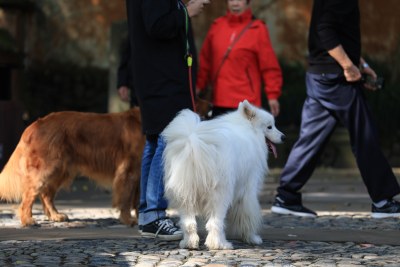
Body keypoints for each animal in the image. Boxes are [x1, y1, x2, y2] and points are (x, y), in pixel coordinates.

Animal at [162, 100, 284, 251]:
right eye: (269, 127)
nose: (284, 137)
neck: (248, 129)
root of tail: (193, 144)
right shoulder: (248, 189)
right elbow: (248, 215)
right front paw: (252, 238)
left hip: (184, 194)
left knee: (189, 223)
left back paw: (189, 243)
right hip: (220, 194)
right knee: (214, 222)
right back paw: (220, 244)